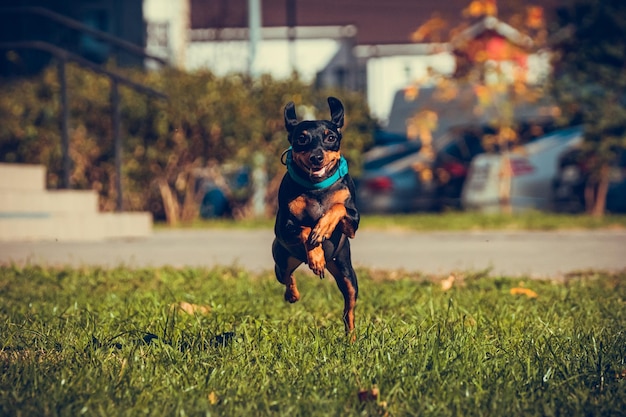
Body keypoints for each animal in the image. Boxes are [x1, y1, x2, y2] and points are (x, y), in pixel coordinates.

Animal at [270, 96, 358, 336]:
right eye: (302, 138)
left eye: (330, 137)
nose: (316, 157)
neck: (316, 187)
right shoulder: (284, 228)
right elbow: (304, 229)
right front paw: (316, 254)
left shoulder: (353, 223)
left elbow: (338, 207)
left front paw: (323, 228)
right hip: (283, 259)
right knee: (286, 277)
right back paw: (293, 293)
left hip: (347, 273)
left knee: (348, 310)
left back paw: (352, 337)